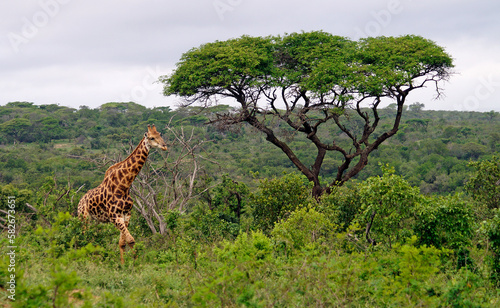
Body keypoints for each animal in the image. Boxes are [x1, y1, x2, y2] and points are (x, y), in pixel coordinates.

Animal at [78, 124, 168, 264]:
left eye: (160, 134)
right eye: (152, 138)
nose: (164, 146)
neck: (124, 186)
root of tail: (80, 201)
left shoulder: (126, 214)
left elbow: (123, 242)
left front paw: (125, 264)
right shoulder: (114, 215)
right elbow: (131, 240)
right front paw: (133, 264)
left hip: (95, 220)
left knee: (91, 238)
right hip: (83, 217)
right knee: (83, 237)